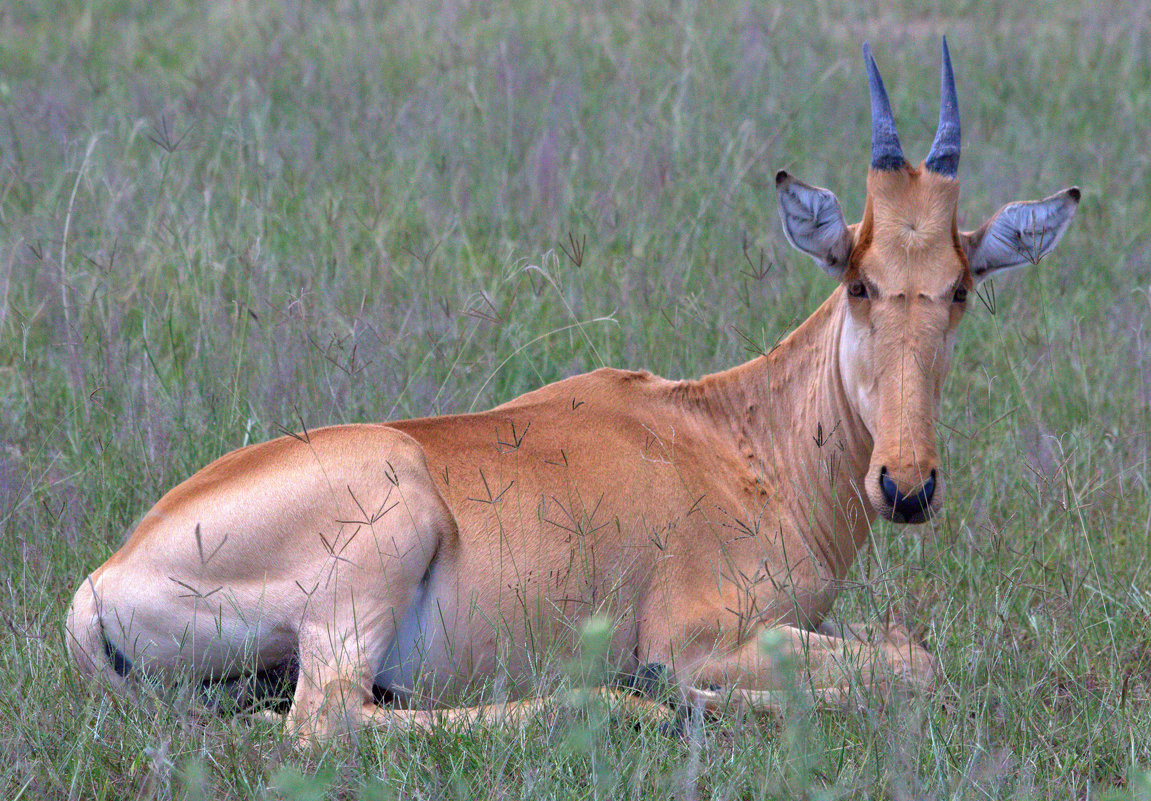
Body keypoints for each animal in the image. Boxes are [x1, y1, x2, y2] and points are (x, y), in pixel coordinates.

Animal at [69, 40, 1077, 741]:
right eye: (859, 279)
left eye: (959, 285)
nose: (905, 486)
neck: (735, 434)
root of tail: (101, 581)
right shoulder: (702, 632)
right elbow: (915, 665)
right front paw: (682, 692)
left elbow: (909, 647)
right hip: (375, 554)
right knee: (326, 724)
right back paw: (629, 703)